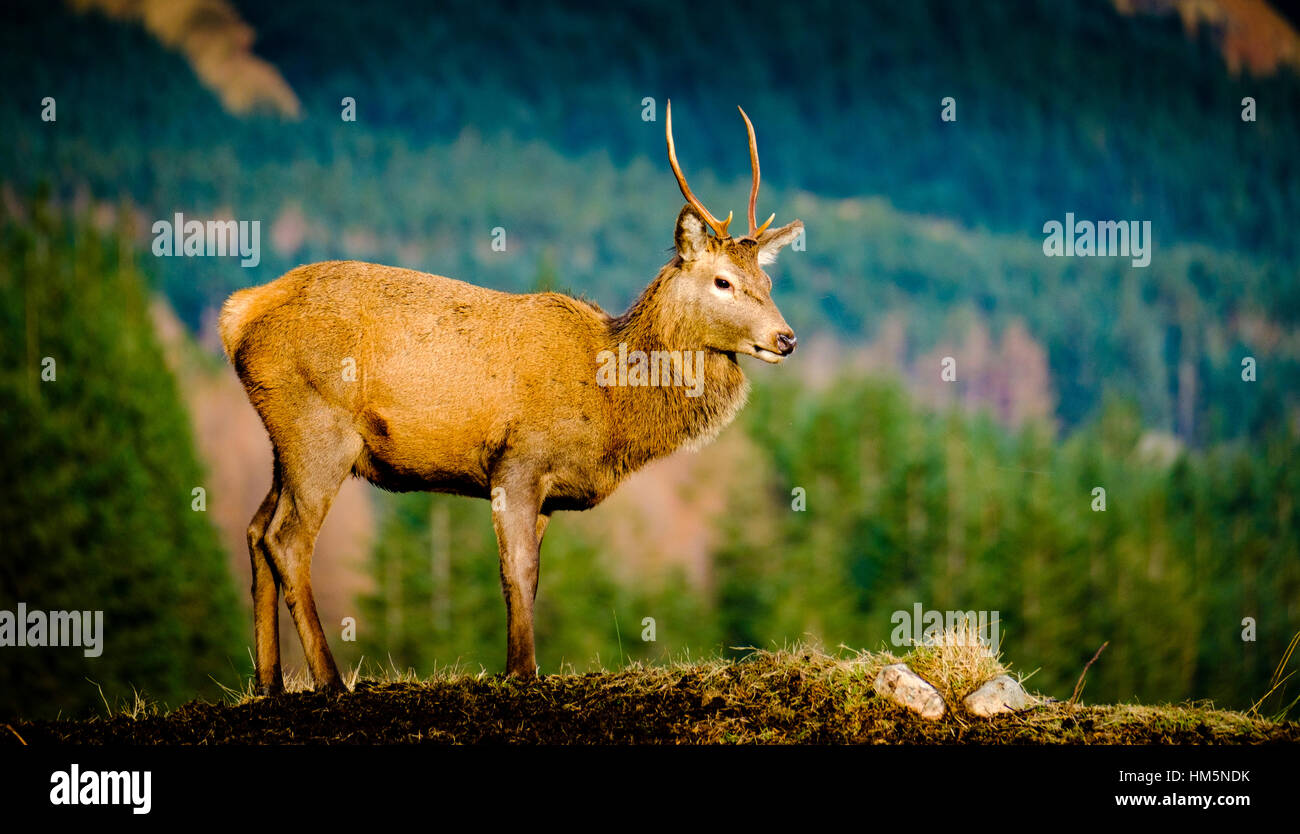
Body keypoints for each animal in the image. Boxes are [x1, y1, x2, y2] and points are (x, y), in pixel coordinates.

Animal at [219, 101, 803, 693]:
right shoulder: (517, 461)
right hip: (319, 429)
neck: (610, 400)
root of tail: (238, 314)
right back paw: (330, 680)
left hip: (282, 439)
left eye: (768, 283)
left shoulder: (546, 493)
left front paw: (511, 663)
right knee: (287, 540)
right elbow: (516, 570)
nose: (786, 338)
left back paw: (269, 682)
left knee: (255, 530)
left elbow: (533, 575)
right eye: (723, 281)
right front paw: (523, 670)